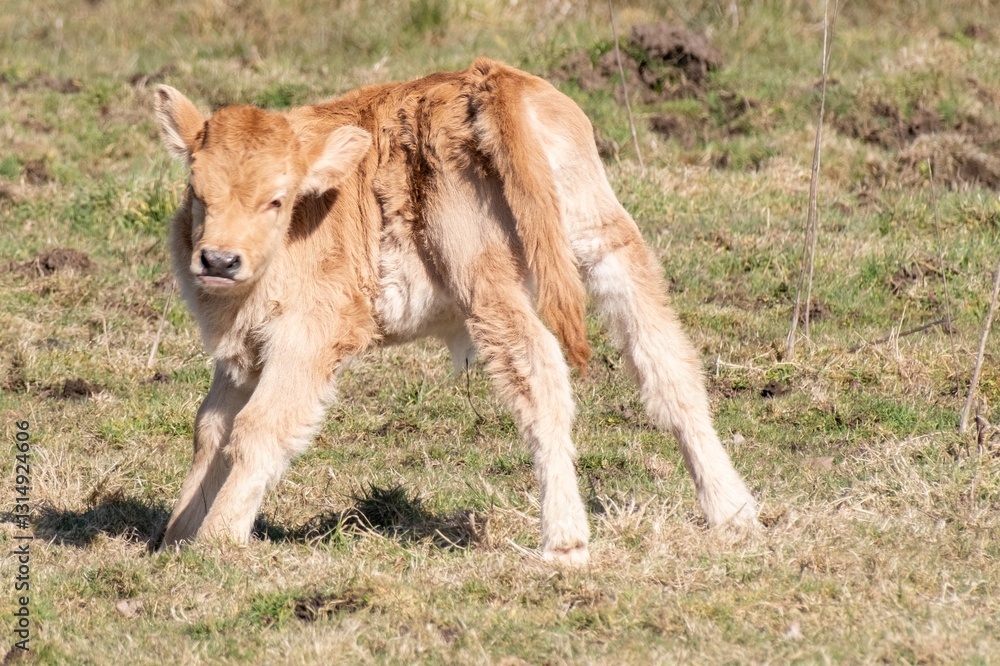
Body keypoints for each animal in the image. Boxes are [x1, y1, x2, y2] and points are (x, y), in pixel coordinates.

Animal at [152, 58, 758, 564]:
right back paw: (734, 514)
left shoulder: (310, 339)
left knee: (540, 372)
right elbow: (210, 428)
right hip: (606, 246)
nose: (219, 260)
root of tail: (489, 79)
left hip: (484, 283)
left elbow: (258, 428)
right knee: (666, 364)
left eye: (276, 199)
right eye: (198, 191)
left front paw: (215, 543)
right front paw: (175, 537)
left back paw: (564, 541)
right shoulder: (242, 357)